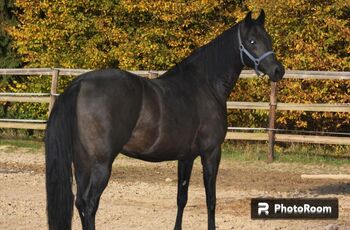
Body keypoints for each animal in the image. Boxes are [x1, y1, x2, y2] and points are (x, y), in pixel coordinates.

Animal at [45, 10, 284, 230]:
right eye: (252, 41)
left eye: (268, 38)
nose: (278, 70)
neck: (205, 85)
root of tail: (81, 83)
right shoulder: (211, 152)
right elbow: (211, 199)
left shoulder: (186, 157)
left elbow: (182, 198)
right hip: (100, 164)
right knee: (89, 203)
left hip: (82, 164)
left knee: (80, 203)